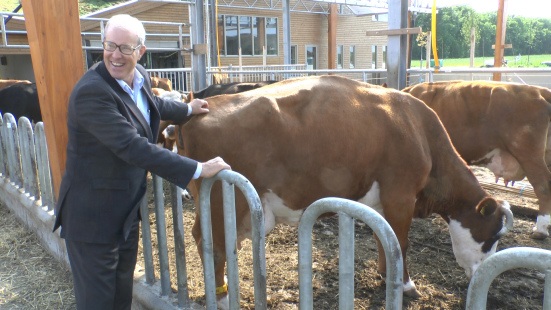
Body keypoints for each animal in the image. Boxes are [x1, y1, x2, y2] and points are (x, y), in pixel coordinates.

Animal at [176, 75, 512, 308]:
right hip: (224, 198)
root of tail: (198, 110)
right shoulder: (401, 194)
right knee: (214, 244)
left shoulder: (381, 201)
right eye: (493, 235)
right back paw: (222, 298)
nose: (480, 276)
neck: (420, 131)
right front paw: (405, 285)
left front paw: (384, 275)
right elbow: (401, 242)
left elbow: (383, 239)